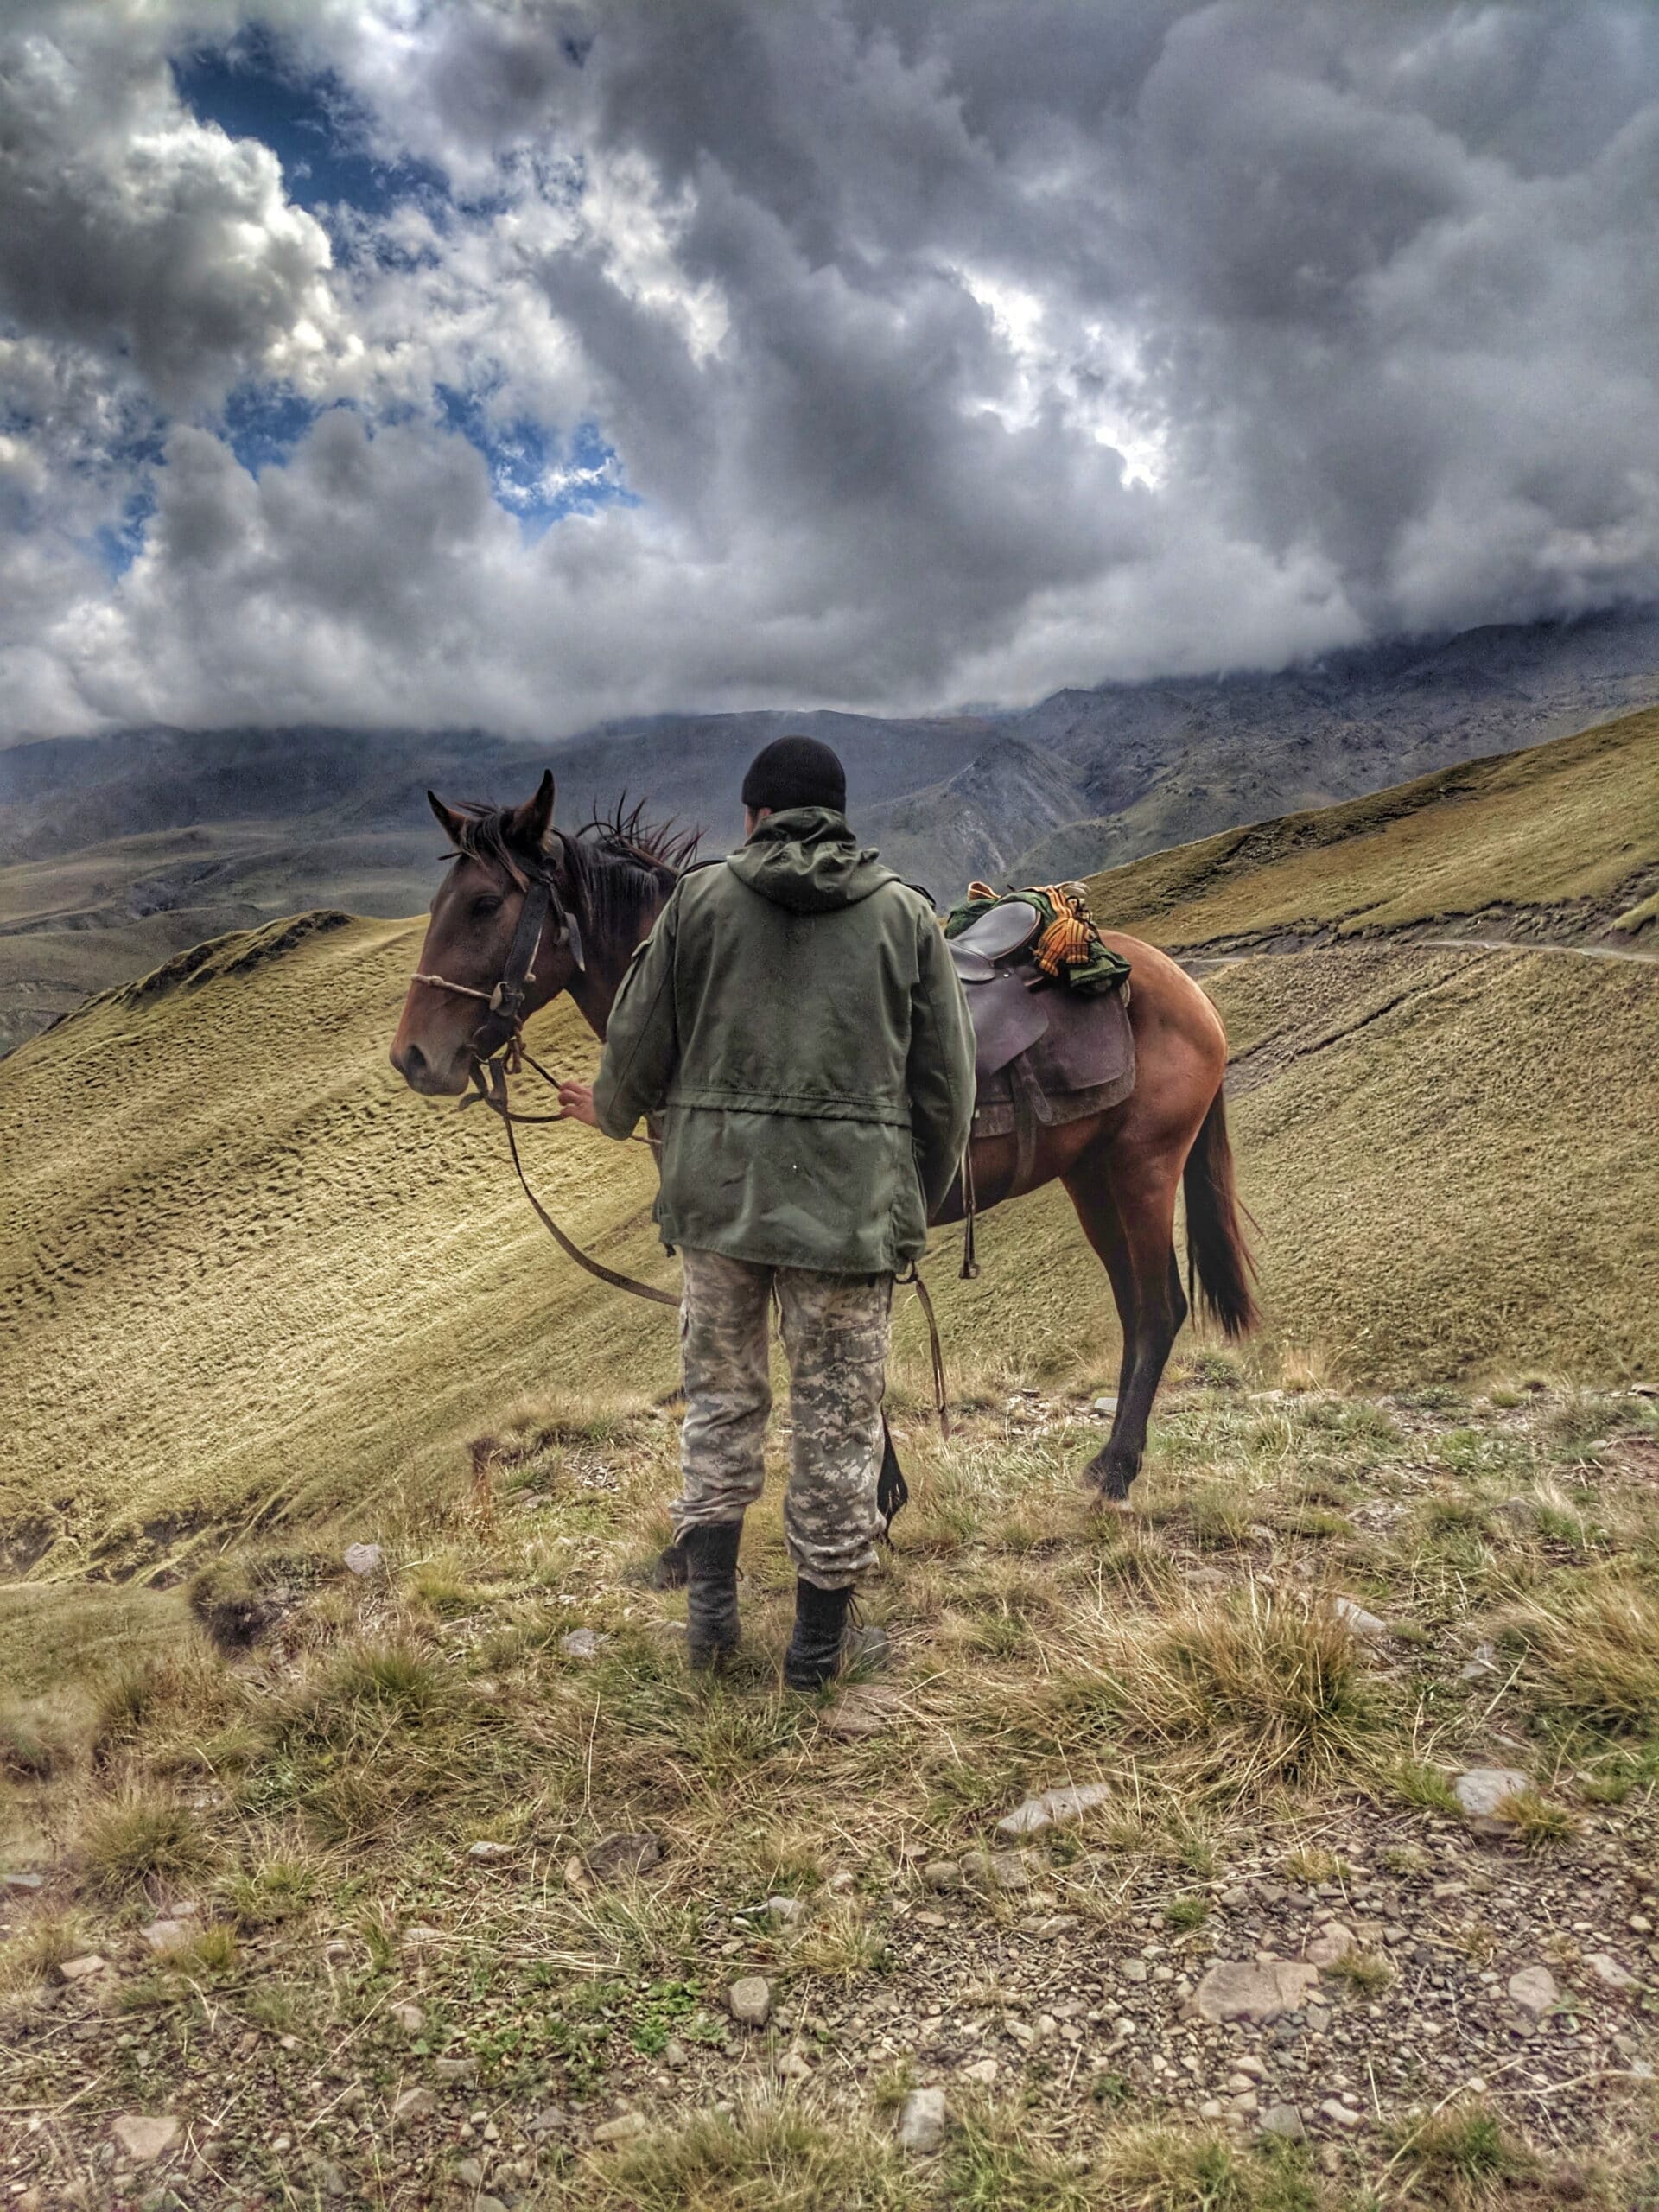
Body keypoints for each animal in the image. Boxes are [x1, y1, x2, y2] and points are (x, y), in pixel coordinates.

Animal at [389, 769, 1256, 1513]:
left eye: (484, 904)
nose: (414, 1057)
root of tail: (1182, 985)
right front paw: (876, 1490)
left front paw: (873, 1498)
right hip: (1092, 1175)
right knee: (1134, 1305)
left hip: (1144, 1168)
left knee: (1159, 1307)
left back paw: (1115, 1471)